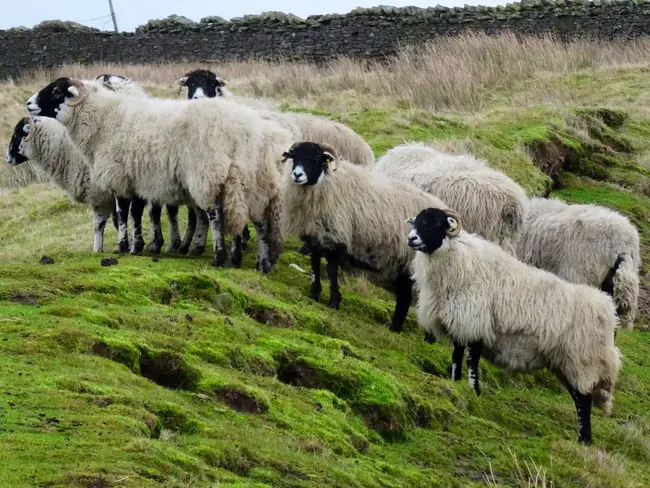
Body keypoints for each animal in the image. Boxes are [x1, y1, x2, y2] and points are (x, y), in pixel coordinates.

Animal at [29, 78, 288, 272]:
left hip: (207, 174)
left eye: (56, 91)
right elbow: (137, 213)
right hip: (251, 182)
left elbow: (123, 214)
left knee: (215, 214)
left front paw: (124, 246)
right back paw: (259, 262)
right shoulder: (138, 181)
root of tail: (247, 131)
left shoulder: (119, 176)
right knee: (256, 221)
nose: (29, 103)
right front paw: (139, 245)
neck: (104, 120)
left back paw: (221, 256)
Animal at [408, 207, 620, 446]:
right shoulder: (461, 323)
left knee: (583, 400)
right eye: (417, 221)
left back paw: (585, 440)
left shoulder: (477, 323)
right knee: (578, 397)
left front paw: (474, 391)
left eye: (436, 222)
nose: (411, 239)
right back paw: (582, 439)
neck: (457, 256)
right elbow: (456, 356)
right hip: (565, 363)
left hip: (583, 360)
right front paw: (455, 382)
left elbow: (471, 360)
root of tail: (607, 309)